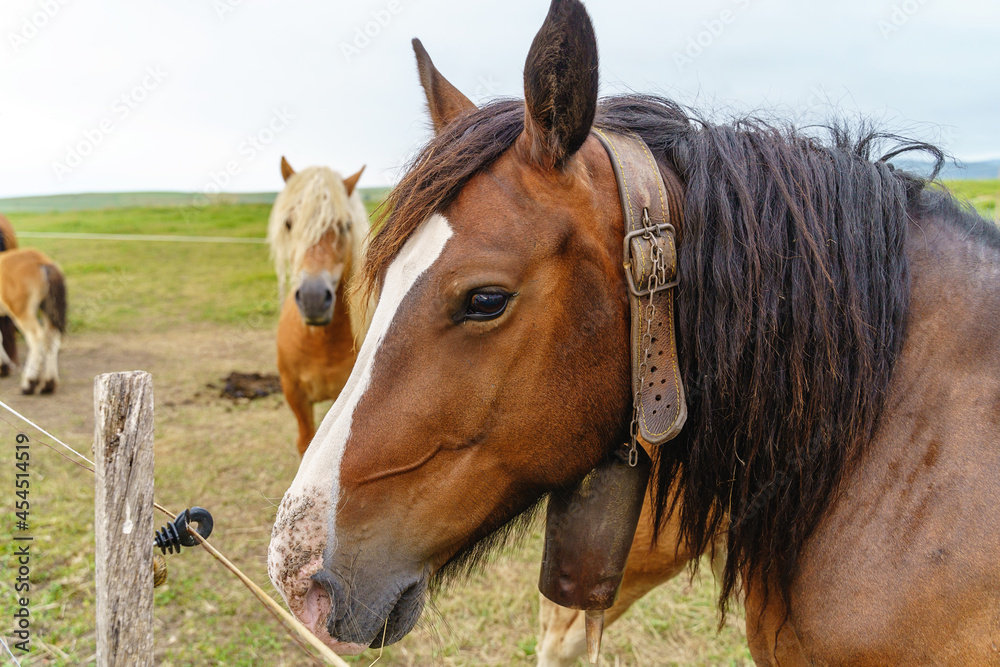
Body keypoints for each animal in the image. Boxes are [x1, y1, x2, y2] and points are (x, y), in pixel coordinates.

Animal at [0, 247, 66, 394]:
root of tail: (42, 261)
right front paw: (3, 367)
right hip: (46, 308)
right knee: (52, 337)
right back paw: (48, 383)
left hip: (22, 312)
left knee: (36, 338)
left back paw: (29, 383)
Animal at [268, 157, 373, 456]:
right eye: (289, 223)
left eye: (345, 226)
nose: (313, 298)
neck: (321, 343)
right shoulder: (294, 393)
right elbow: (306, 443)